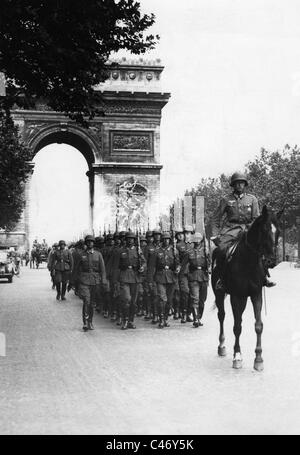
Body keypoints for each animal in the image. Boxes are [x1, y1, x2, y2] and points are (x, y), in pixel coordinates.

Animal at [212, 206, 280, 370]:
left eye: (279, 232)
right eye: (264, 230)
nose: (271, 261)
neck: (248, 261)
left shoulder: (256, 294)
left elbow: (258, 325)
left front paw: (259, 359)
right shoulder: (236, 296)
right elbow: (237, 327)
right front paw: (237, 356)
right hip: (219, 294)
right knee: (222, 316)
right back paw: (222, 346)